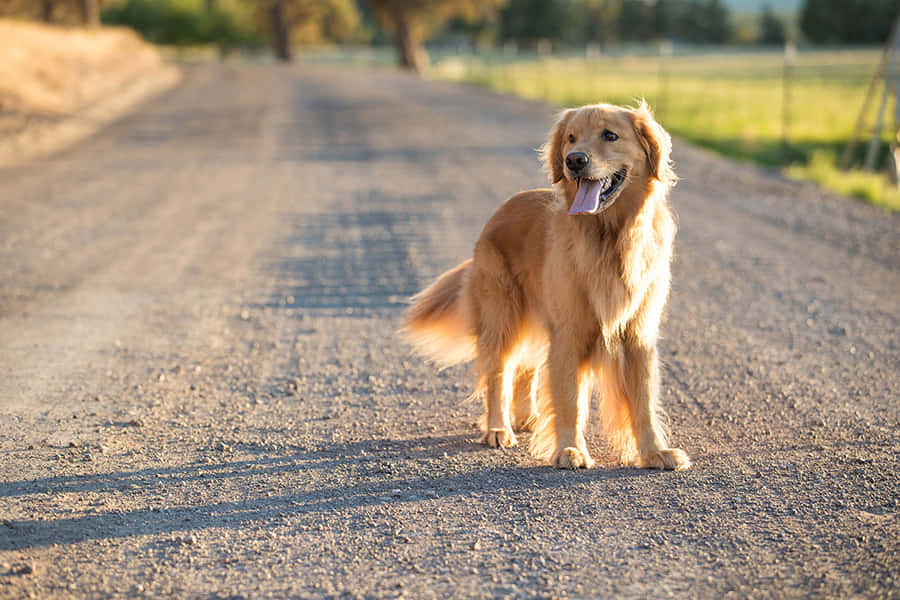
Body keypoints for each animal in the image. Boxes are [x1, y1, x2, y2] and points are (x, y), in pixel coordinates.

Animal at [404, 102, 692, 468]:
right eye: (571, 138)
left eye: (610, 135)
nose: (574, 160)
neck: (610, 237)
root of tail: (498, 212)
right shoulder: (569, 332)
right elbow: (569, 399)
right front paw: (569, 450)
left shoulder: (638, 335)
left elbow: (643, 404)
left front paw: (655, 451)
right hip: (502, 316)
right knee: (499, 373)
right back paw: (498, 428)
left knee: (525, 368)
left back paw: (527, 417)